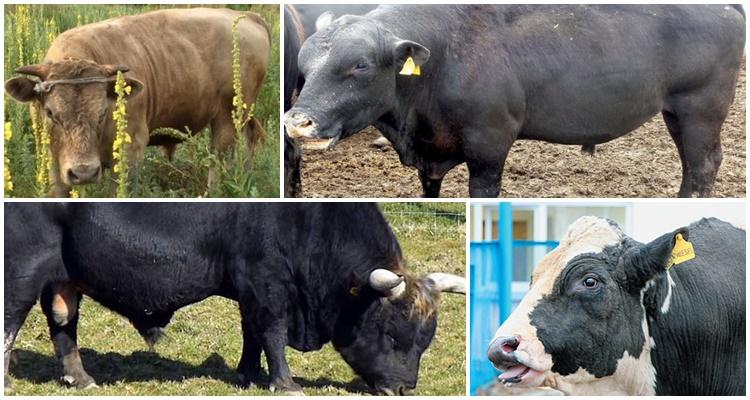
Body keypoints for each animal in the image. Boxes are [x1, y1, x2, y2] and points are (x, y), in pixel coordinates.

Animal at [2, 203, 468, 394]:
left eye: (425, 341)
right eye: (392, 335)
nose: (404, 387)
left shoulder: (250, 288)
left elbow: (251, 331)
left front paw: (246, 373)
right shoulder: (268, 283)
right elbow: (271, 333)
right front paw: (285, 383)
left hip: (64, 280)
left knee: (63, 325)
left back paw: (79, 378)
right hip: (23, 272)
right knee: (11, 322)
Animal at [5, 8, 270, 197]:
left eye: (103, 112)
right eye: (50, 113)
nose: (84, 172)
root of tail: (248, 17)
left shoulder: (131, 151)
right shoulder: (54, 161)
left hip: (227, 117)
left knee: (218, 158)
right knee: (246, 144)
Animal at [284, 5, 748, 199]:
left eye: (359, 65)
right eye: (303, 64)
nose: (297, 122)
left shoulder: (489, 145)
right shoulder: (430, 152)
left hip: (701, 107)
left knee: (704, 165)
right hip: (676, 112)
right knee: (692, 165)